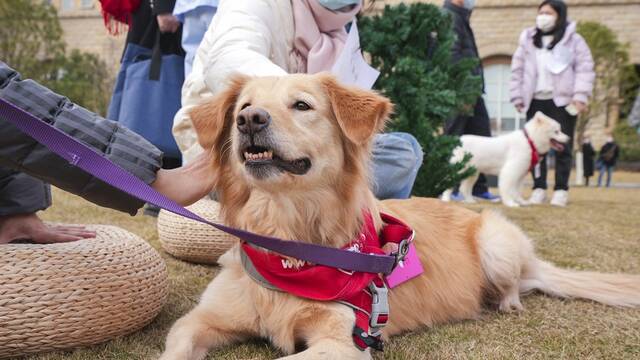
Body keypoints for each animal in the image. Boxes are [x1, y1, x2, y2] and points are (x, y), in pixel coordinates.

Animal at [440, 112, 568, 208]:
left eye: (560, 130)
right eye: (556, 131)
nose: (568, 138)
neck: (530, 141)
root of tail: (458, 140)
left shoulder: (520, 174)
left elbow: (517, 191)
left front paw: (521, 202)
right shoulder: (510, 172)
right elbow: (507, 189)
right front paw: (510, 203)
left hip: (472, 173)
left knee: (465, 188)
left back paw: (470, 201)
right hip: (459, 169)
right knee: (449, 183)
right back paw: (445, 199)